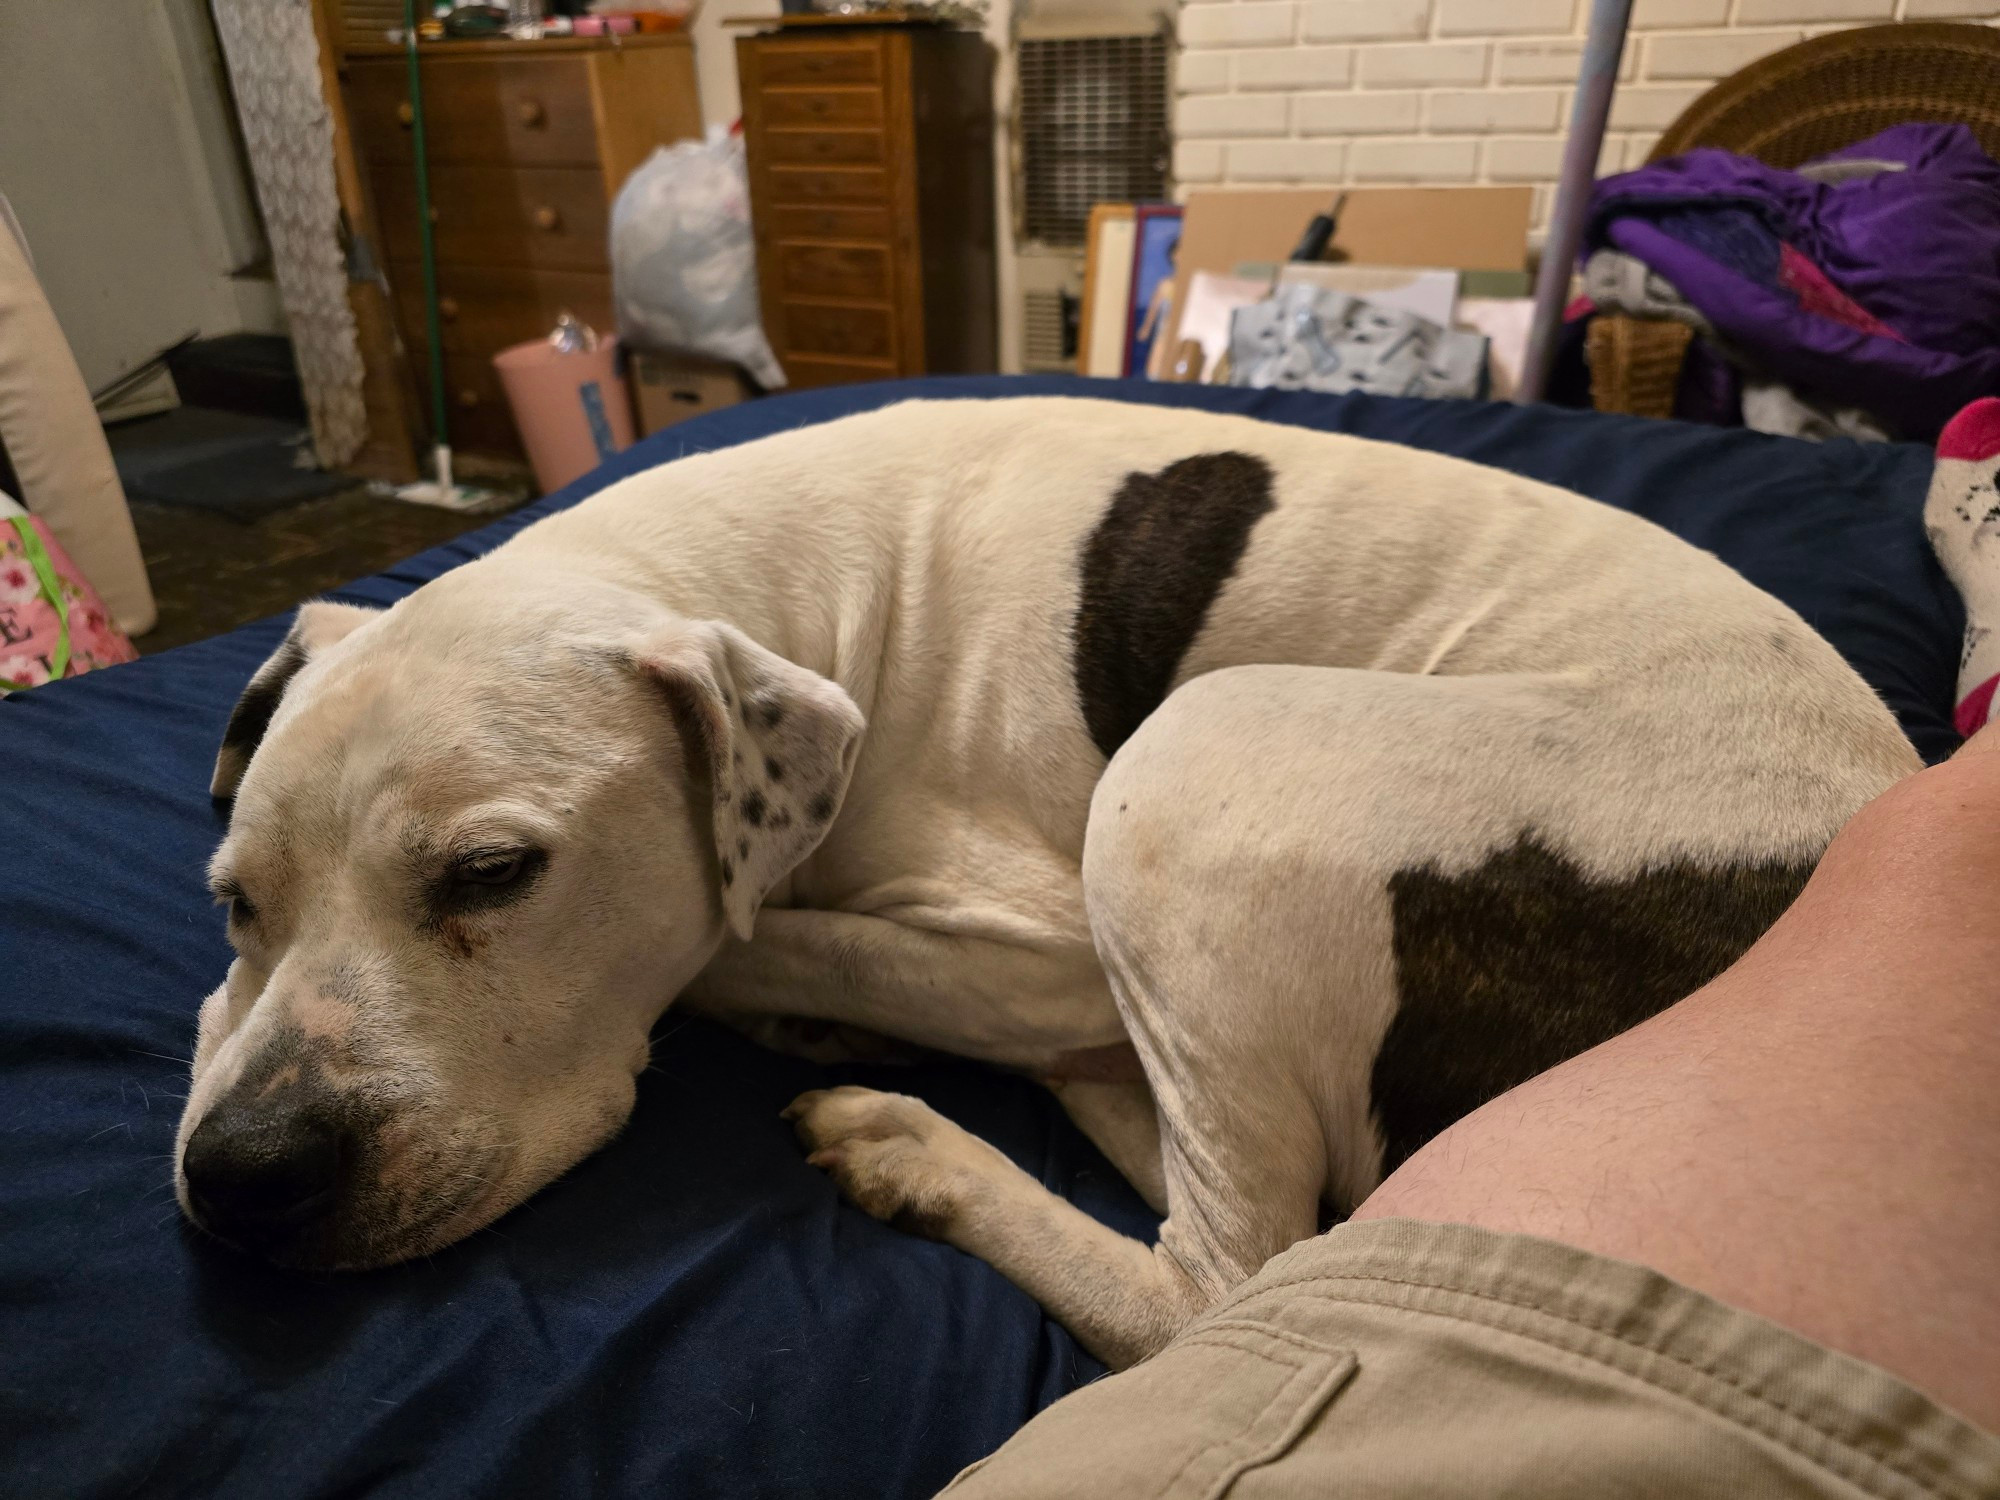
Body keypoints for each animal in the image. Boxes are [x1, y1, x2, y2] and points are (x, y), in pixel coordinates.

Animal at [176, 402, 1920, 1376]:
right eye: (234, 899)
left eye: (494, 874)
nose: (244, 1176)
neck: (780, 592)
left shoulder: (1049, 944)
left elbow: (759, 945)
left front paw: (789, 996)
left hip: (1194, 759)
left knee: (1221, 1285)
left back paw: (916, 1144)